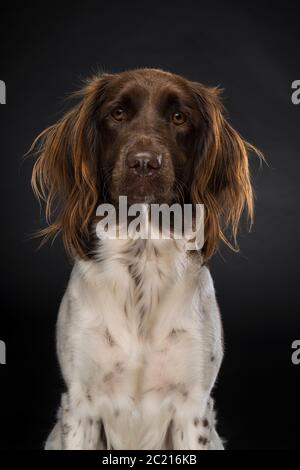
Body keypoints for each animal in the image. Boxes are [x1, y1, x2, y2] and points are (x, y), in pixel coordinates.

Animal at [31, 68, 260, 450]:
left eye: (179, 117)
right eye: (118, 113)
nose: (144, 163)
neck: (142, 256)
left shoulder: (192, 407)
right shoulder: (80, 403)